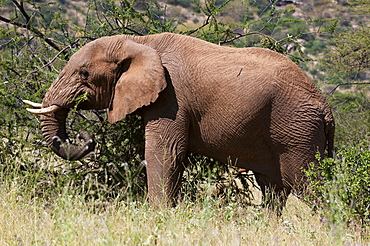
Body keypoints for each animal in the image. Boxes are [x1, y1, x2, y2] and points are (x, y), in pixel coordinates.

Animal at [24, 32, 334, 209]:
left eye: (84, 74)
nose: (85, 137)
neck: (140, 43)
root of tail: (325, 107)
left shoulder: (172, 98)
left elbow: (164, 152)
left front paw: (158, 215)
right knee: (272, 190)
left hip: (297, 129)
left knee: (309, 185)